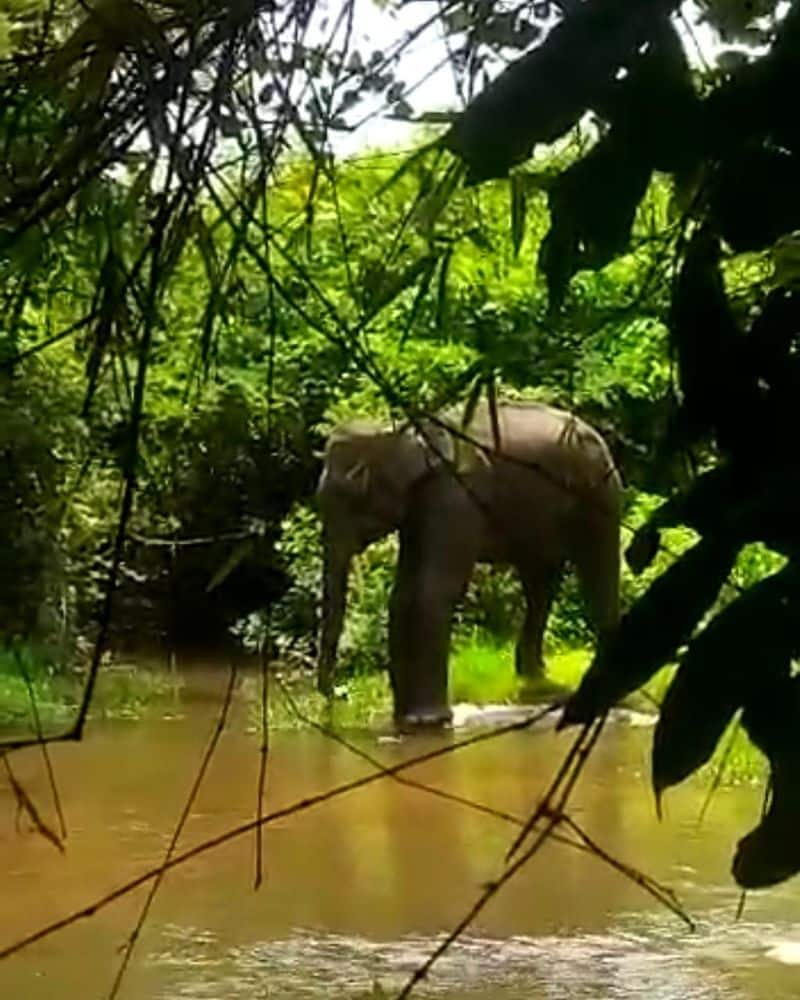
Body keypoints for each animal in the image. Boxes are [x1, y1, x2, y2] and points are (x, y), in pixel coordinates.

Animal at [316, 398, 620, 728]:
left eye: (355, 491)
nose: (335, 695)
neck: (400, 431)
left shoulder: (454, 493)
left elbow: (430, 590)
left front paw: (428, 721)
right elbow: (404, 592)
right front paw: (410, 723)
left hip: (598, 491)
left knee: (597, 573)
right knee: (540, 583)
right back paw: (535, 679)